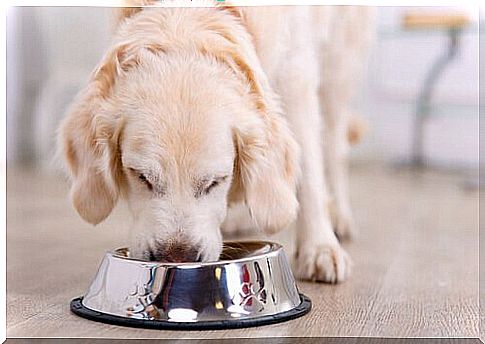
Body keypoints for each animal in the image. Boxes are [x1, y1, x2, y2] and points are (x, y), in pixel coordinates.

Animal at [57, 2, 374, 282]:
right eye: (141, 177)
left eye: (215, 182)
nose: (177, 257)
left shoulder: (295, 74)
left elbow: (309, 172)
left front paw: (320, 248)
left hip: (338, 66)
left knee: (334, 147)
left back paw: (339, 216)